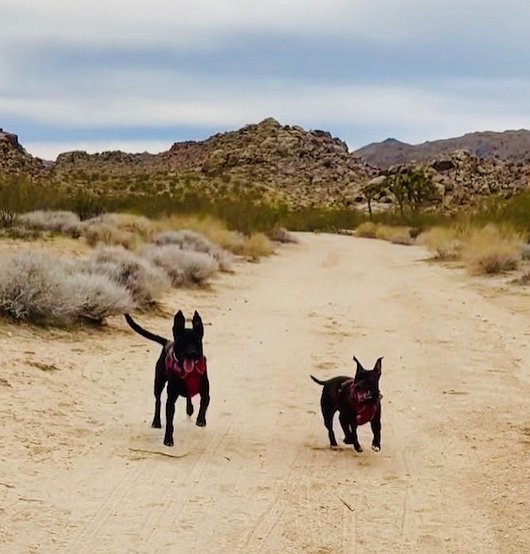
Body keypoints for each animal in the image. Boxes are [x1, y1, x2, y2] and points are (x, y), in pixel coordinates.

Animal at [124, 310, 210, 447]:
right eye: (183, 342)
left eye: (196, 341)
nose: (191, 353)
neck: (189, 373)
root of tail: (168, 342)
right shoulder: (170, 401)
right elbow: (170, 422)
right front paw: (168, 440)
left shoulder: (206, 393)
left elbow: (204, 405)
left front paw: (201, 420)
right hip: (158, 383)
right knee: (158, 401)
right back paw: (156, 422)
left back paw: (190, 409)